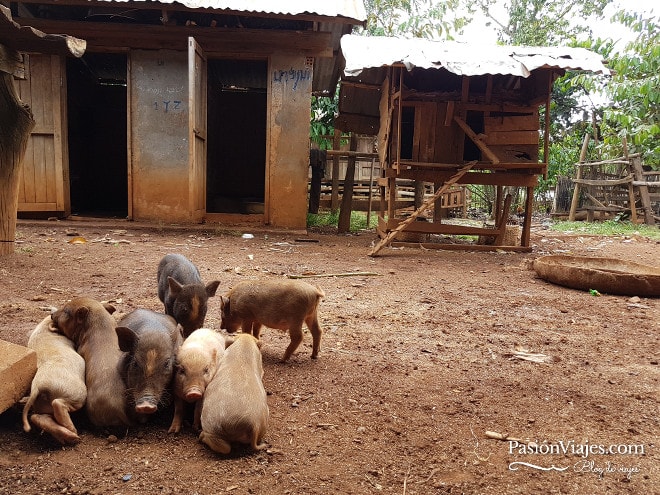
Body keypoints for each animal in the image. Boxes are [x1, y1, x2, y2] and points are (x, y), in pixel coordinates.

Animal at [22, 318, 87, 446]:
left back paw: (69, 437)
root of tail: (38, 386)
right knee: (58, 404)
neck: (43, 327)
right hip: (77, 393)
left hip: (41, 404)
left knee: (37, 417)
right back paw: (74, 434)